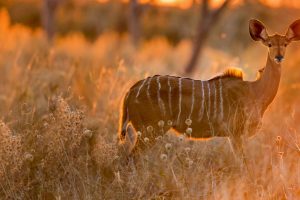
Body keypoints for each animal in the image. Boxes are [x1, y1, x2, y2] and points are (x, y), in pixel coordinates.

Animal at [118, 19, 300, 156]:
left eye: (285, 44)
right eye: (269, 44)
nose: (279, 57)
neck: (255, 91)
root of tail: (131, 91)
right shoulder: (236, 134)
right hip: (149, 131)